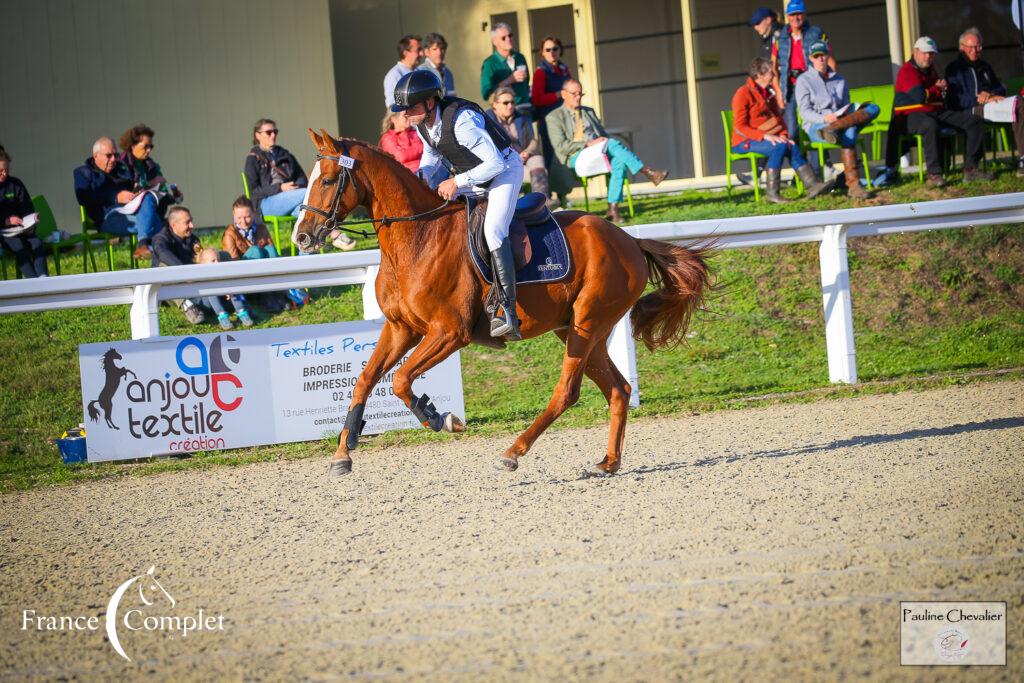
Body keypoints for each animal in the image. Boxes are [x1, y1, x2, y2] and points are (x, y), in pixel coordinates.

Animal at [294, 131, 712, 479]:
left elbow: (400, 379)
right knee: (618, 390)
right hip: (576, 328)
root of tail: (630, 241)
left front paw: (441, 418)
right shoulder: (401, 328)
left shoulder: (449, 332)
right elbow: (366, 379)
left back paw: (513, 452)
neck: (417, 237)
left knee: (568, 392)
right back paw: (607, 463)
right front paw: (343, 453)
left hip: (587, 324)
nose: (301, 237)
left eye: (327, 180)